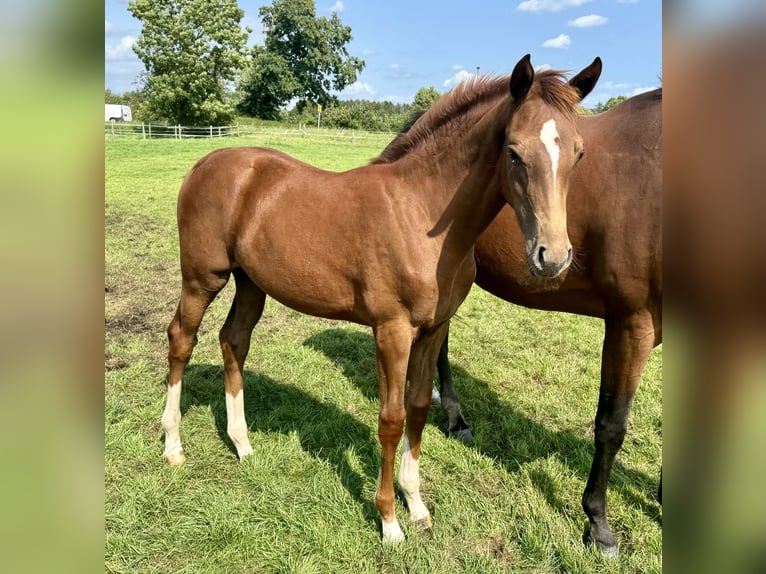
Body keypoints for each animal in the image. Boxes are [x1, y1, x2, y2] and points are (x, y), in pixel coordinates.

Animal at [164, 55, 608, 544]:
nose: (553, 257)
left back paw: (242, 444)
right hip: (203, 278)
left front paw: (417, 506)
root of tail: (205, 162)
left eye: (579, 153)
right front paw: (389, 521)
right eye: (513, 151)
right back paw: (173, 446)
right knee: (181, 339)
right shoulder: (391, 332)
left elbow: (418, 409)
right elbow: (391, 420)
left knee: (233, 341)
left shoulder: (433, 330)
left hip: (250, 283)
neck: (420, 212)